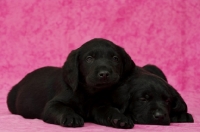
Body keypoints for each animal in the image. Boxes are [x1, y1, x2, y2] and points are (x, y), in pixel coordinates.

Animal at [6, 38, 134, 128]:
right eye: (89, 59)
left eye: (115, 58)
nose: (104, 74)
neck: (88, 92)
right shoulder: (52, 105)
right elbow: (63, 108)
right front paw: (71, 117)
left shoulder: (100, 107)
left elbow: (110, 110)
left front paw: (120, 118)